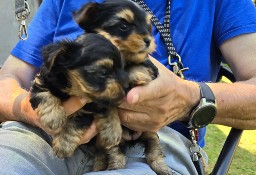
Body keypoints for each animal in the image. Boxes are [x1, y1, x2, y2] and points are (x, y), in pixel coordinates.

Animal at [73, 0, 171, 174]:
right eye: (123, 26)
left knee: (154, 150)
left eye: (148, 26)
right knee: (113, 156)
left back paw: (162, 168)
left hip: (149, 132)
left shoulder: (150, 67)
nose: (148, 40)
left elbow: (139, 67)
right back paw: (108, 167)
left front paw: (135, 76)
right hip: (113, 142)